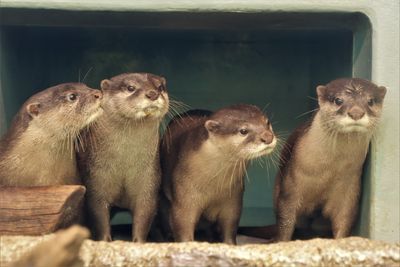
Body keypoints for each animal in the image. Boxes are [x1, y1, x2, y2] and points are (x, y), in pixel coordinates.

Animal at [79, 71, 169, 243]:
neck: (123, 164)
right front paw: (105, 241)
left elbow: (145, 213)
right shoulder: (95, 178)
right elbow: (99, 214)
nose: (153, 93)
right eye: (130, 87)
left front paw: (139, 242)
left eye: (160, 87)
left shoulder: (149, 180)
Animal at [159, 105, 278, 245]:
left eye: (267, 122)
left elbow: (230, 224)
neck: (213, 187)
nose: (268, 137)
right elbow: (182, 223)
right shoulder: (185, 196)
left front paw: (230, 244)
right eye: (243, 131)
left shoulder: (233, 200)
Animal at [276, 78, 386, 242]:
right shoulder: (291, 186)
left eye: (370, 101)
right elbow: (285, 220)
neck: (326, 172)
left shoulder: (348, 192)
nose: (356, 112)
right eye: (338, 100)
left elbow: (344, 219)